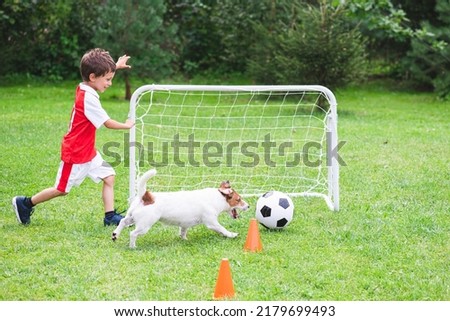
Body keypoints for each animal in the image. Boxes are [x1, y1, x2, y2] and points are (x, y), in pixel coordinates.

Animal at [110, 169, 248, 249]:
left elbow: (183, 231)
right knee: (132, 233)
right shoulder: (212, 222)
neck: (216, 198)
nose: (248, 206)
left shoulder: (185, 224)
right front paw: (232, 234)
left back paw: (115, 234)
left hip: (132, 216)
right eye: (239, 199)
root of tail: (146, 196)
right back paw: (133, 246)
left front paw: (184, 239)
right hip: (145, 225)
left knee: (123, 221)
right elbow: (223, 229)